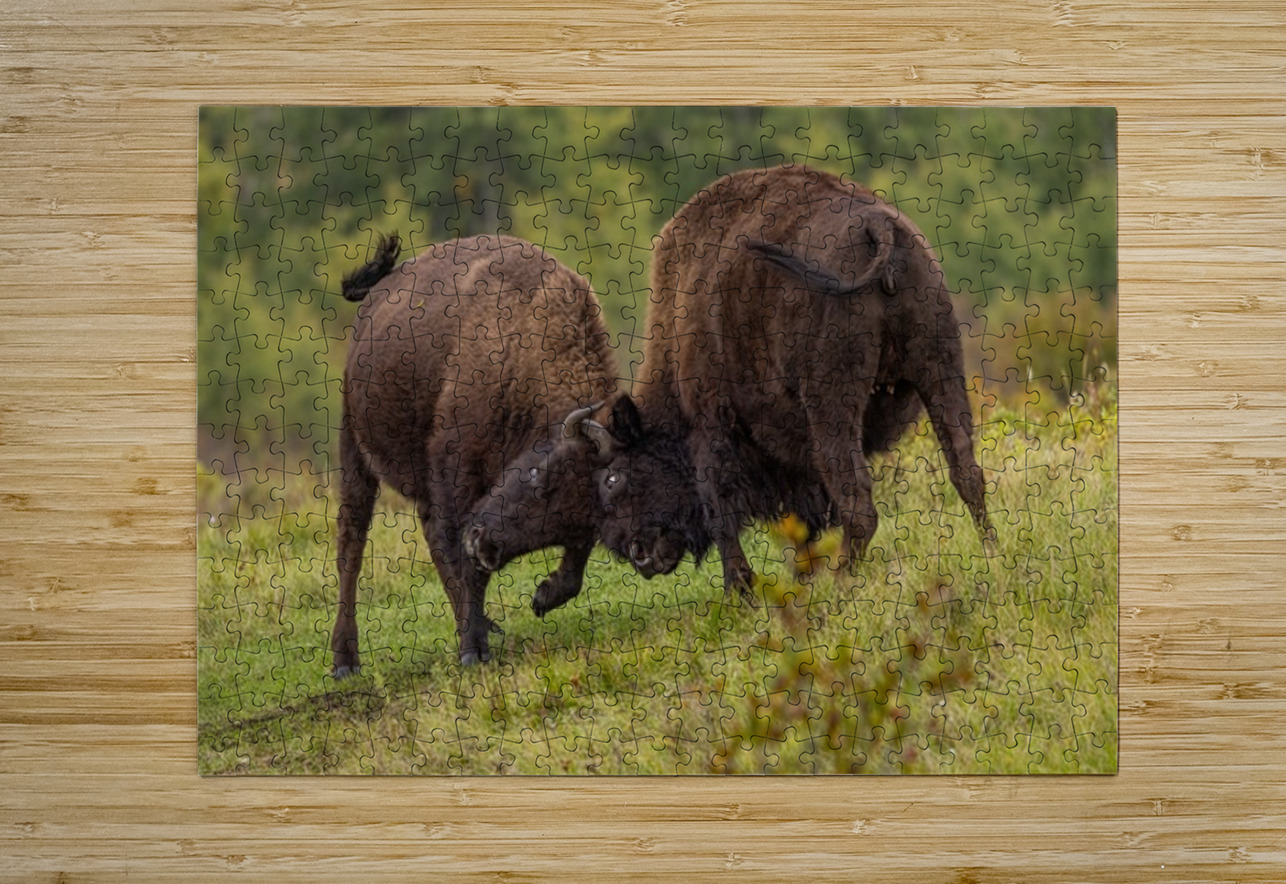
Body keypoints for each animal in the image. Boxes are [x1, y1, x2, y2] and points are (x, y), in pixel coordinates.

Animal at [329, 233, 618, 674]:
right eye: (538, 477)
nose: (485, 545)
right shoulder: (458, 474)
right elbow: (465, 563)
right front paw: (472, 650)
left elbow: (575, 560)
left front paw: (542, 597)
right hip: (354, 448)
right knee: (352, 542)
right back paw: (346, 660)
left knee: (431, 538)